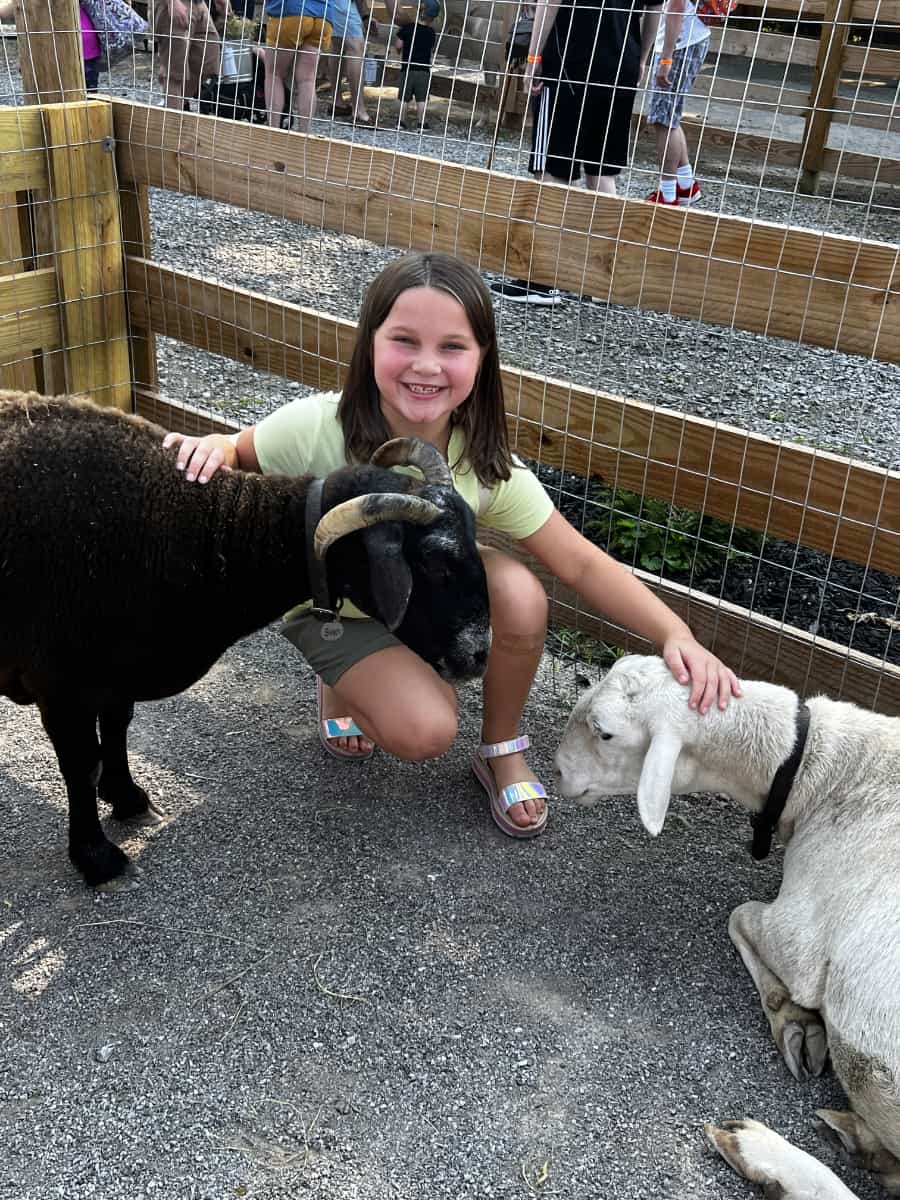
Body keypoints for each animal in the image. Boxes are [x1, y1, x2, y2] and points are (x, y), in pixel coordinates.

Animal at [1, 391, 494, 883]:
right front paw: (95, 856)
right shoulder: (63, 683)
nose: (478, 655)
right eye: (434, 561)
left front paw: (127, 798)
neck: (207, 545)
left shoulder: (114, 671)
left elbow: (118, 726)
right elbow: (83, 763)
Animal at [556, 657, 900, 1200]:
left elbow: (739, 915)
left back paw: (762, 1151)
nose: (556, 770)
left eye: (603, 731)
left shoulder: (800, 937)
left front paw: (790, 1013)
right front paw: (799, 1022)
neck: (822, 768)